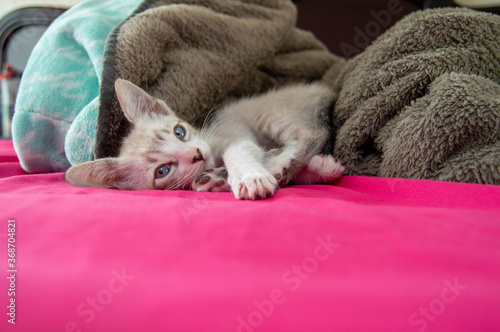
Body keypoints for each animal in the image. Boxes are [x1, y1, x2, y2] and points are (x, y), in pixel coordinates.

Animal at [66, 80, 344, 200]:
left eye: (179, 132)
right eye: (162, 171)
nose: (196, 154)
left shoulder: (232, 138)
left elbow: (238, 151)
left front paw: (250, 178)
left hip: (268, 114)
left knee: (313, 134)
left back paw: (277, 164)